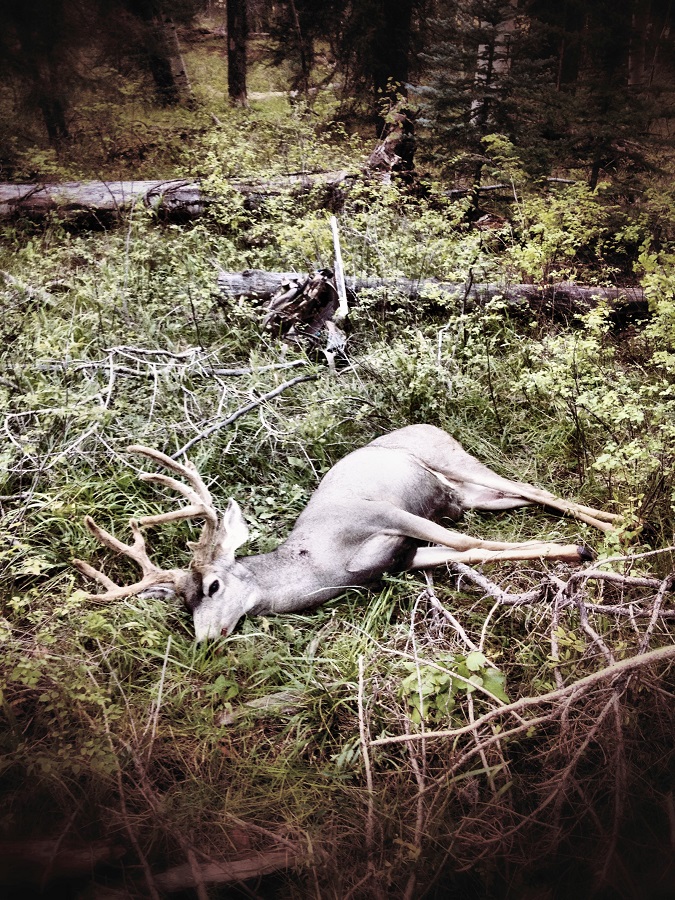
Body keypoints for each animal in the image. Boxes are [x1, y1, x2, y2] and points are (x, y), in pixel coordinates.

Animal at [72, 426, 616, 644]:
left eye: (213, 586)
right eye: (184, 604)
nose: (203, 639)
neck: (322, 564)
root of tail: (433, 425)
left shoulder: (379, 513)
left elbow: (467, 545)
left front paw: (578, 550)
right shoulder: (402, 558)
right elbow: (469, 551)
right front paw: (571, 551)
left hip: (453, 462)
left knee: (530, 485)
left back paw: (612, 524)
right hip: (470, 497)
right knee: (524, 497)